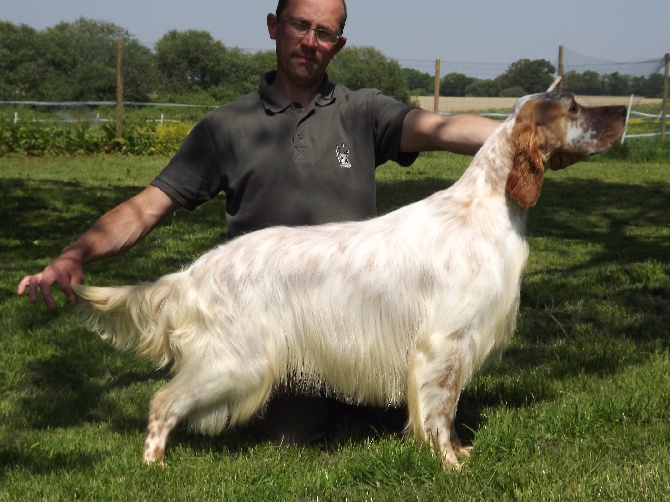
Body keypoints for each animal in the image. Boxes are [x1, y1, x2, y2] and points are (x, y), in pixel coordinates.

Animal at [75, 93, 632, 466]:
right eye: (575, 107)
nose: (625, 111)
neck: (486, 206)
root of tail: (194, 272)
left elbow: (447, 410)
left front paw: (457, 452)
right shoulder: (444, 342)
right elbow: (441, 410)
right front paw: (449, 463)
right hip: (235, 361)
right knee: (162, 402)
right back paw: (154, 464)